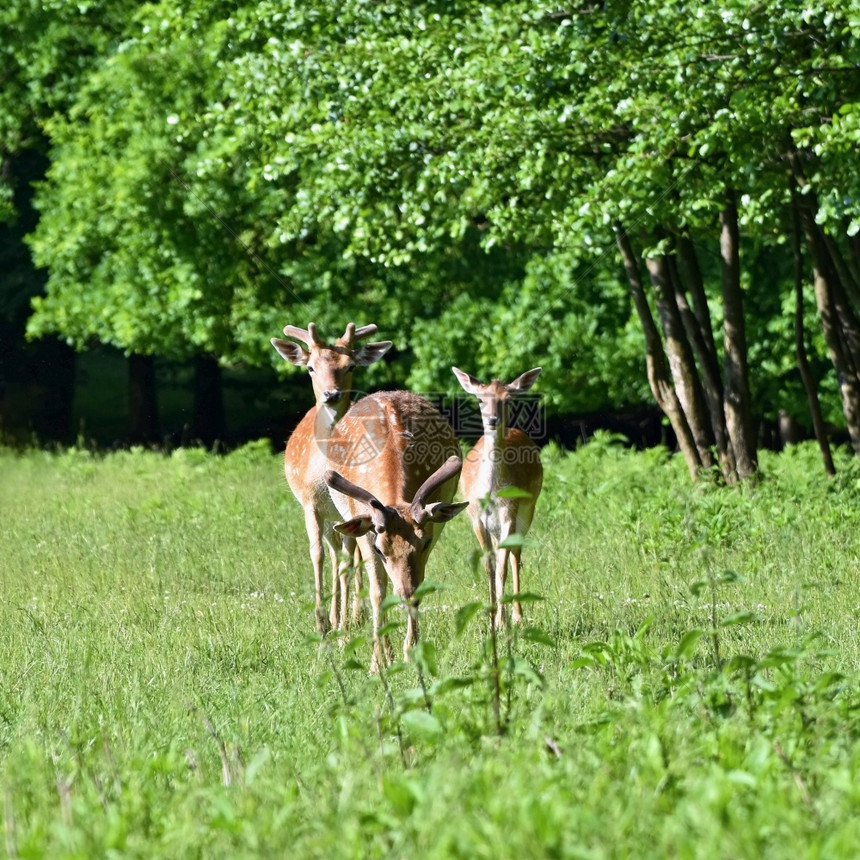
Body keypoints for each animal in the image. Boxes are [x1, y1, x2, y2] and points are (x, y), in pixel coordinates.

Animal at [270, 320, 392, 632]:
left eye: (350, 366)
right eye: (310, 367)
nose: (331, 394)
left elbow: (351, 559)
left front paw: (343, 620)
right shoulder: (309, 502)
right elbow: (318, 554)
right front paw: (322, 622)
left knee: (349, 555)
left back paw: (351, 614)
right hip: (329, 516)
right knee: (335, 553)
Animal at [322, 394, 470, 668]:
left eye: (424, 543)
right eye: (381, 550)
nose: (406, 594)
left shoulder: (432, 530)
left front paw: (411, 652)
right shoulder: (367, 533)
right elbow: (377, 593)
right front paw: (377, 663)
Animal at [450, 366, 544, 628]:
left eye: (507, 400)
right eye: (480, 399)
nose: (493, 420)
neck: (491, 492)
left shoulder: (509, 512)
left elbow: (502, 566)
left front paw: (502, 621)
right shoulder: (475, 517)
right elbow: (489, 566)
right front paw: (491, 619)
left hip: (528, 510)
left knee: (516, 555)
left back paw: (518, 615)